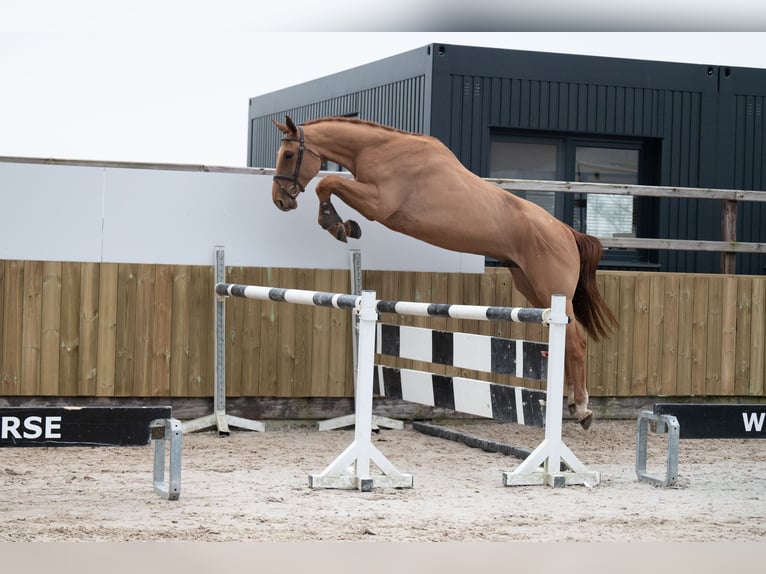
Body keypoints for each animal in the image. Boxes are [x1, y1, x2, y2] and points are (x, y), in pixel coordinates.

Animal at [270, 116, 616, 428]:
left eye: (288, 155)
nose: (281, 200)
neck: (379, 149)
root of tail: (567, 232)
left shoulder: (379, 204)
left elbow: (327, 183)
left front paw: (337, 224)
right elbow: (329, 186)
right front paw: (342, 225)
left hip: (551, 290)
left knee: (576, 341)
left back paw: (582, 408)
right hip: (529, 284)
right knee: (567, 338)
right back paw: (572, 403)